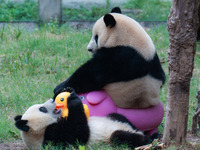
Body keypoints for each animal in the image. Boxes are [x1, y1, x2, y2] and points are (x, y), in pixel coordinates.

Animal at [14, 91, 157, 149]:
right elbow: (78, 135)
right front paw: (74, 101)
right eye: (42, 109)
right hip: (112, 140)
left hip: (115, 118)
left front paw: (67, 90)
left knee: (120, 117)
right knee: (122, 137)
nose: (51, 100)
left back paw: (152, 134)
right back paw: (150, 139)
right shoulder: (52, 138)